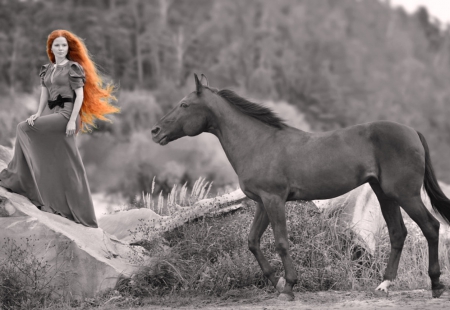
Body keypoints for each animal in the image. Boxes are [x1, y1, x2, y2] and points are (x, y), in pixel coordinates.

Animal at [152, 73, 450, 300]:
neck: (259, 143)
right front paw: (276, 283)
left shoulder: (274, 200)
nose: (156, 132)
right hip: (385, 194)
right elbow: (253, 241)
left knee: (431, 227)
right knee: (398, 233)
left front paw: (289, 287)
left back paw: (436, 285)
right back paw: (385, 284)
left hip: (405, 194)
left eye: (184, 105)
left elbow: (282, 242)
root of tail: (412, 131)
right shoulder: (262, 202)